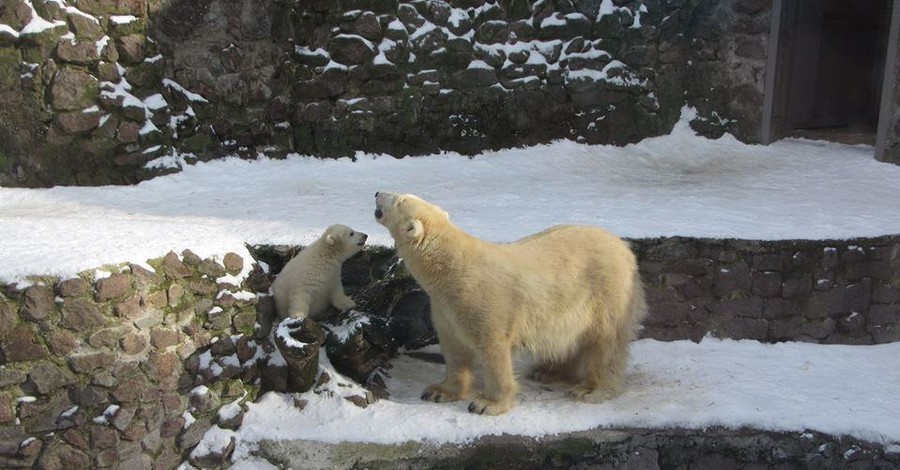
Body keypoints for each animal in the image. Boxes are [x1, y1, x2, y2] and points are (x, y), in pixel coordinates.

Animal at [372, 191, 648, 414]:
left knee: (606, 342)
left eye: (400, 199)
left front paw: (487, 404)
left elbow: (493, 349)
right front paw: (439, 391)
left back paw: (591, 389)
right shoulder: (445, 308)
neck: (451, 270)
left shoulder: (482, 301)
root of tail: (624, 247)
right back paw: (545, 371)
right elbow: (454, 348)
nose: (377, 192)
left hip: (607, 291)